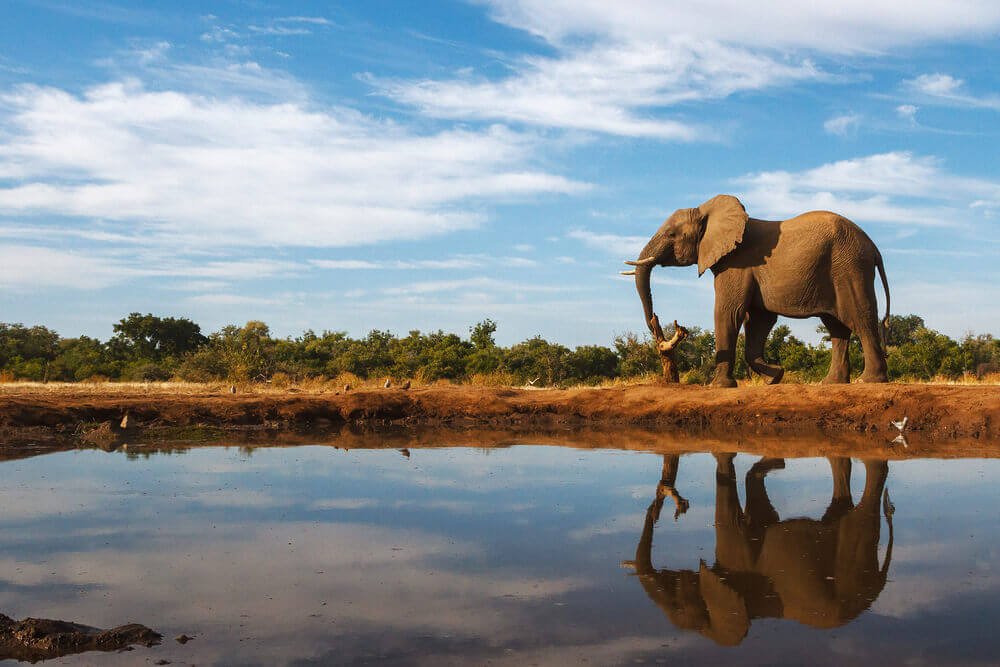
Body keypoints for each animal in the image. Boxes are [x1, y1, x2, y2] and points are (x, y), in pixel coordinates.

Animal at [620, 454, 896, 648]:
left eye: (677, 604)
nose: (662, 507)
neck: (710, 629)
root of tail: (878, 584)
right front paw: (776, 464)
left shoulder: (738, 561)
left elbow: (730, 518)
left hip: (853, 564)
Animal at [624, 193, 892, 386]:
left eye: (671, 234)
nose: (656, 321)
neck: (707, 211)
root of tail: (873, 247)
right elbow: (758, 320)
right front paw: (775, 377)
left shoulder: (736, 263)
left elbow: (729, 313)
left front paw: (719, 386)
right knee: (837, 327)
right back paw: (831, 383)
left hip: (849, 268)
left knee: (860, 318)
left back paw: (869, 381)